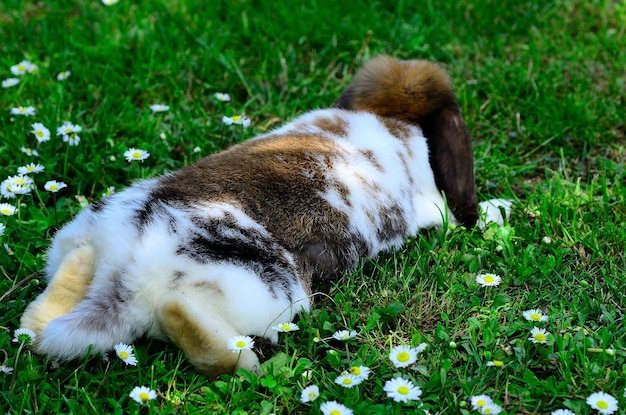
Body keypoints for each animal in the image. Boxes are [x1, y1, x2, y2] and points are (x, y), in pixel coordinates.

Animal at [20, 56, 512, 380]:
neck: (386, 114)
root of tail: (126, 273)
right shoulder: (433, 204)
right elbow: (452, 215)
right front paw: (497, 210)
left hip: (78, 240)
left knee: (44, 316)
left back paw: (67, 284)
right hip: (272, 292)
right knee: (191, 324)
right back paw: (249, 365)